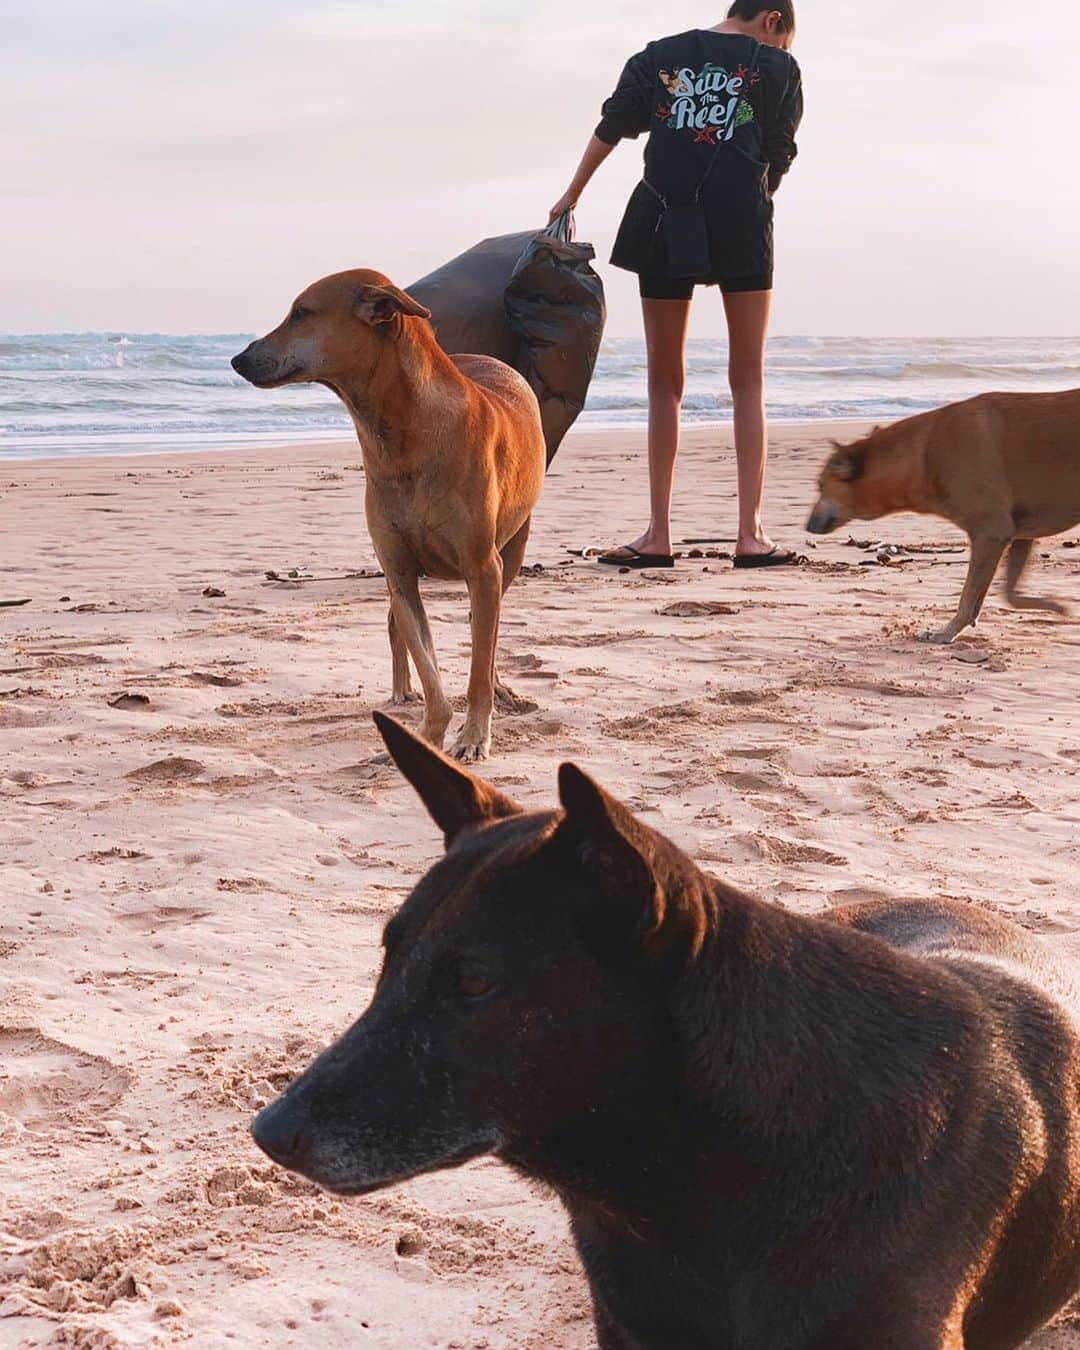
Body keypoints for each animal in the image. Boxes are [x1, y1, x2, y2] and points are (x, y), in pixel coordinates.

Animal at [230, 271, 545, 761]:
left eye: (302, 313)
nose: (237, 360)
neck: (402, 432)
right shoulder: (399, 570)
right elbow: (425, 660)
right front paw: (429, 733)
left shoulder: (482, 567)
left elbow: (478, 660)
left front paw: (474, 734)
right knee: (398, 621)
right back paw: (402, 690)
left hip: (512, 548)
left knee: (487, 630)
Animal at [804, 391, 1074, 642]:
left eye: (820, 486)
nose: (807, 526)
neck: (923, 456)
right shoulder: (1019, 536)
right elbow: (1008, 595)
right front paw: (1056, 605)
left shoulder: (991, 533)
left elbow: (968, 598)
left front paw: (946, 632)